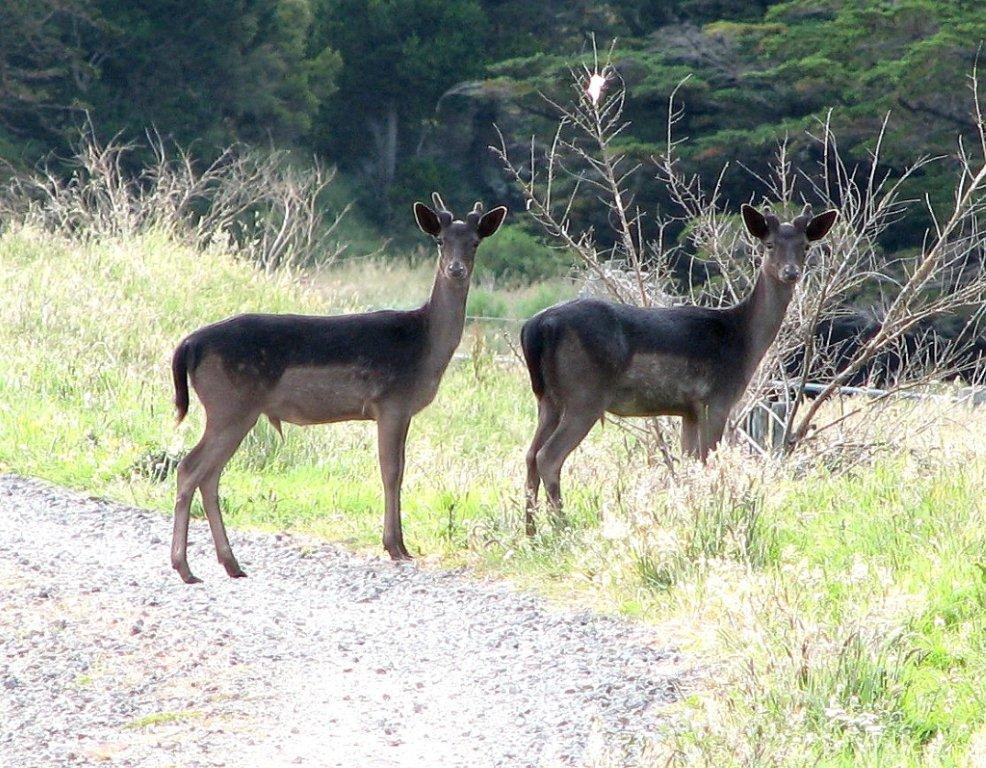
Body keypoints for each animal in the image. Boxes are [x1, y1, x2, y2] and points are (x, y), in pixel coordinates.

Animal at [168, 194, 504, 584]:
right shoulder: (391, 401)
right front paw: (395, 546)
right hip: (229, 405)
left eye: (475, 242)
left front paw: (400, 545)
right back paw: (185, 567)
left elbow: (399, 468)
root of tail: (189, 344)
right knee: (190, 468)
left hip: (233, 411)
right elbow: (392, 470)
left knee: (209, 475)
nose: (455, 269)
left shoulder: (401, 409)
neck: (425, 347)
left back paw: (231, 564)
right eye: (440, 240)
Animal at [520, 201, 836, 532]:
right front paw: (712, 517)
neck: (741, 340)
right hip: (585, 394)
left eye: (805, 246)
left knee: (529, 454)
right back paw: (561, 528)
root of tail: (537, 326)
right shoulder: (716, 399)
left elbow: (689, 463)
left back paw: (530, 531)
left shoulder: (688, 410)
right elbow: (707, 460)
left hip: (548, 398)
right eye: (769, 244)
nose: (791, 272)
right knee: (548, 456)